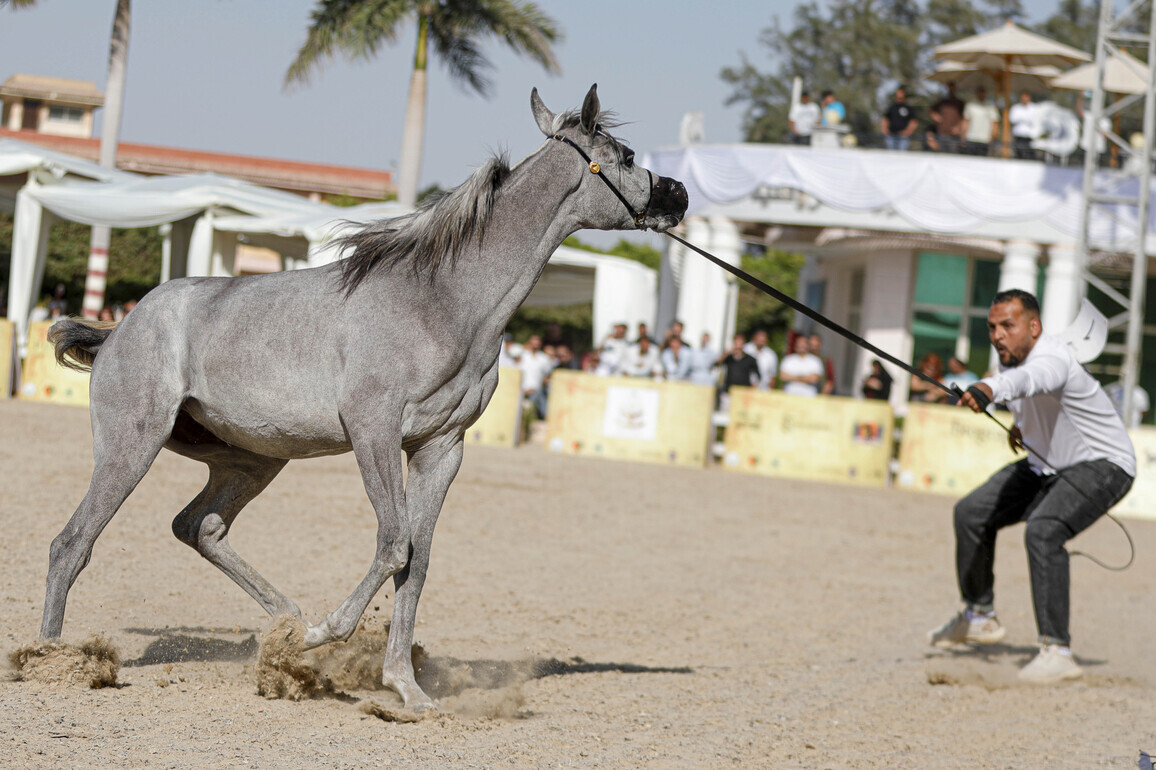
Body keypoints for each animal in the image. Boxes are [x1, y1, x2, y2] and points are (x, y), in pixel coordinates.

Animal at [41, 84, 688, 711]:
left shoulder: (439, 449)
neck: (441, 302)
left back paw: (285, 625)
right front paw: (328, 634)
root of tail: (118, 329)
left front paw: (405, 687)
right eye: (627, 155)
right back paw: (51, 659)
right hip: (133, 445)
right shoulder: (372, 430)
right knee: (72, 543)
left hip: (251, 459)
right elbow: (395, 545)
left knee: (198, 527)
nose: (678, 196)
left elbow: (418, 562)